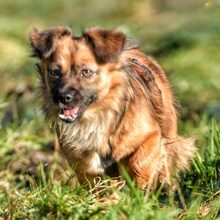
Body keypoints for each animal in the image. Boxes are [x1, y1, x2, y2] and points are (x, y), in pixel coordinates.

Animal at [29, 25, 196, 187]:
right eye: (54, 72)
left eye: (86, 72)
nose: (63, 97)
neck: (96, 117)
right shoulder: (83, 163)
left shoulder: (151, 136)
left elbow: (139, 161)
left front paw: (140, 190)